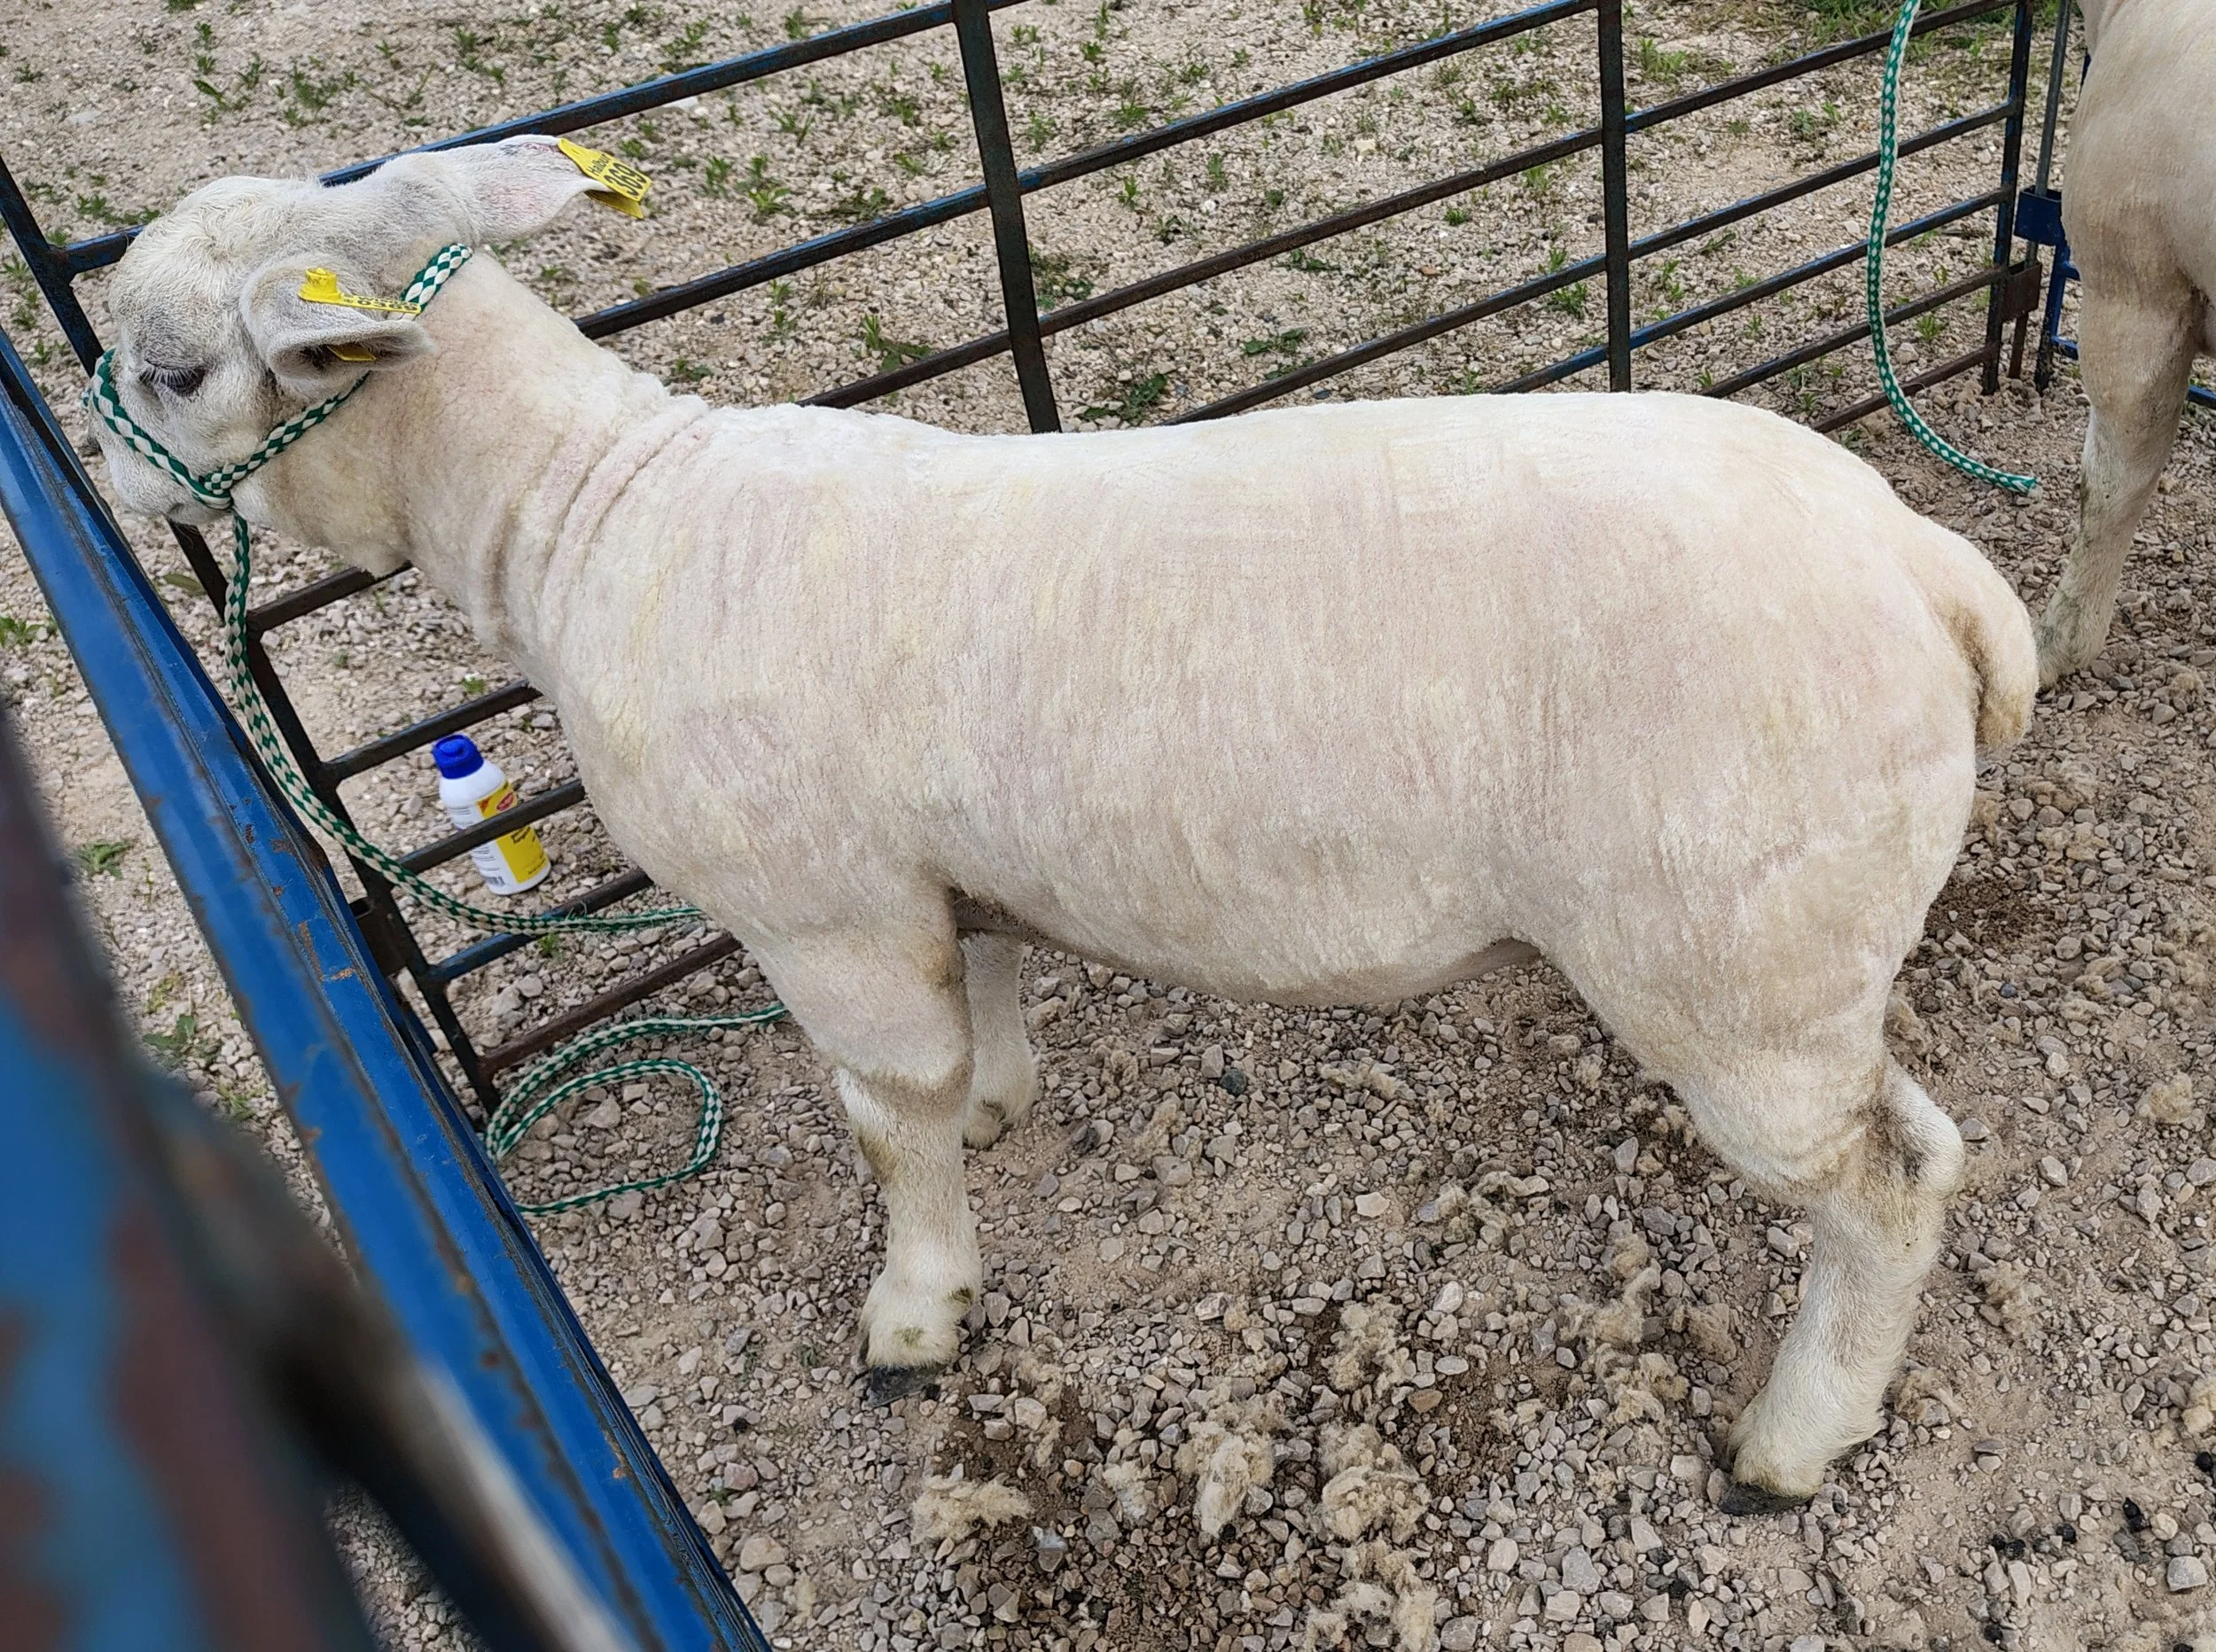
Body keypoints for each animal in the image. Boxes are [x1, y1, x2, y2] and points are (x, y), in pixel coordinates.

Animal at [87, 136, 2036, 1510]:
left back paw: (1795, 1432)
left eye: (172, 371)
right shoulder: (928, 876)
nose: (105, 476)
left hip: (1741, 967)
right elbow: (977, 1018)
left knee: (1893, 1177)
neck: (594, 514)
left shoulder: (823, 912)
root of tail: (1930, 573)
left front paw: (918, 1307)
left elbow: (884, 1120)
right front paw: (1001, 1103)